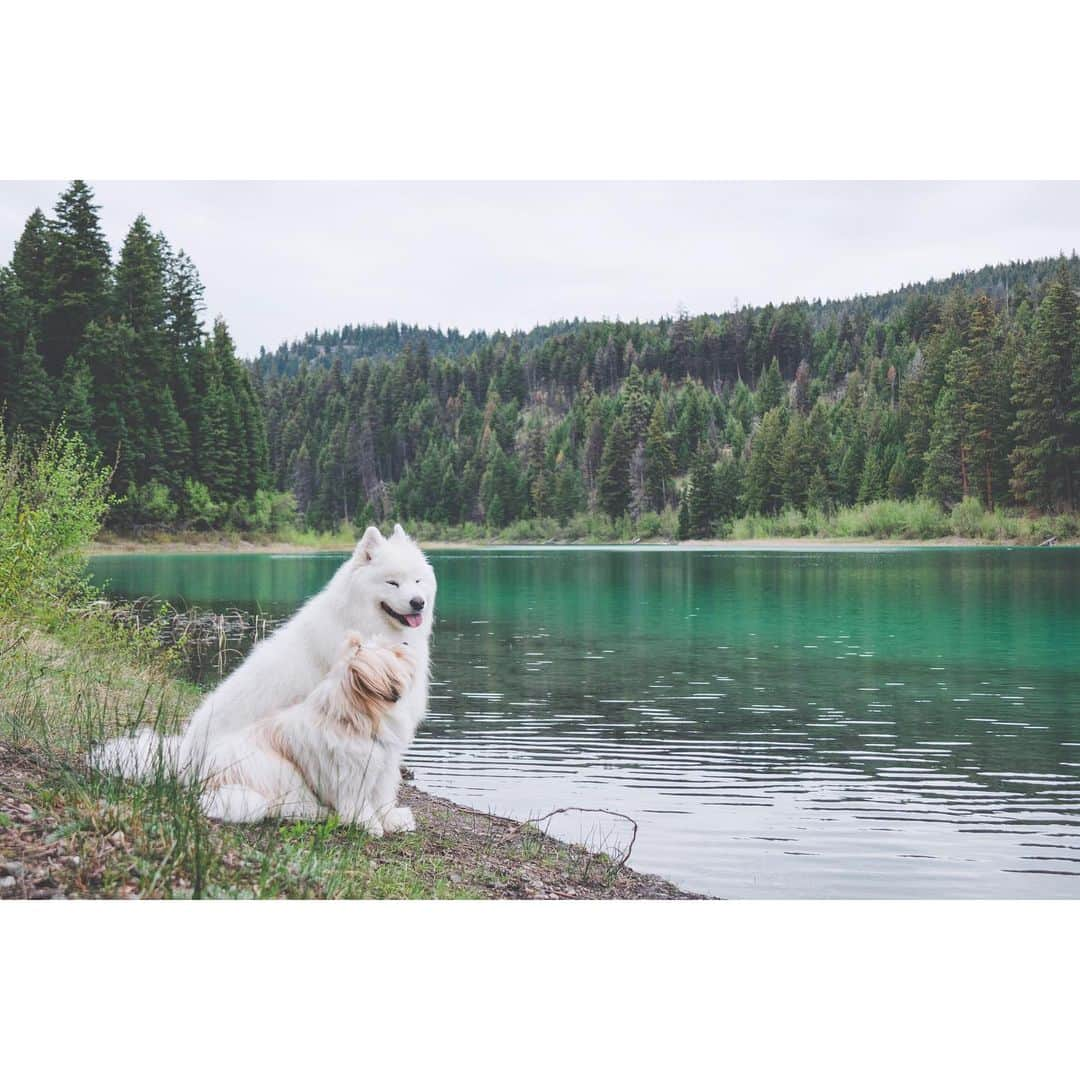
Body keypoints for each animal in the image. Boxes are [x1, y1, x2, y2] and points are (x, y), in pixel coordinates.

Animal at [89, 527, 434, 829]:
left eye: (417, 580)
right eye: (392, 583)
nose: (418, 602)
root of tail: (183, 757)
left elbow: (384, 782)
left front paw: (390, 818)